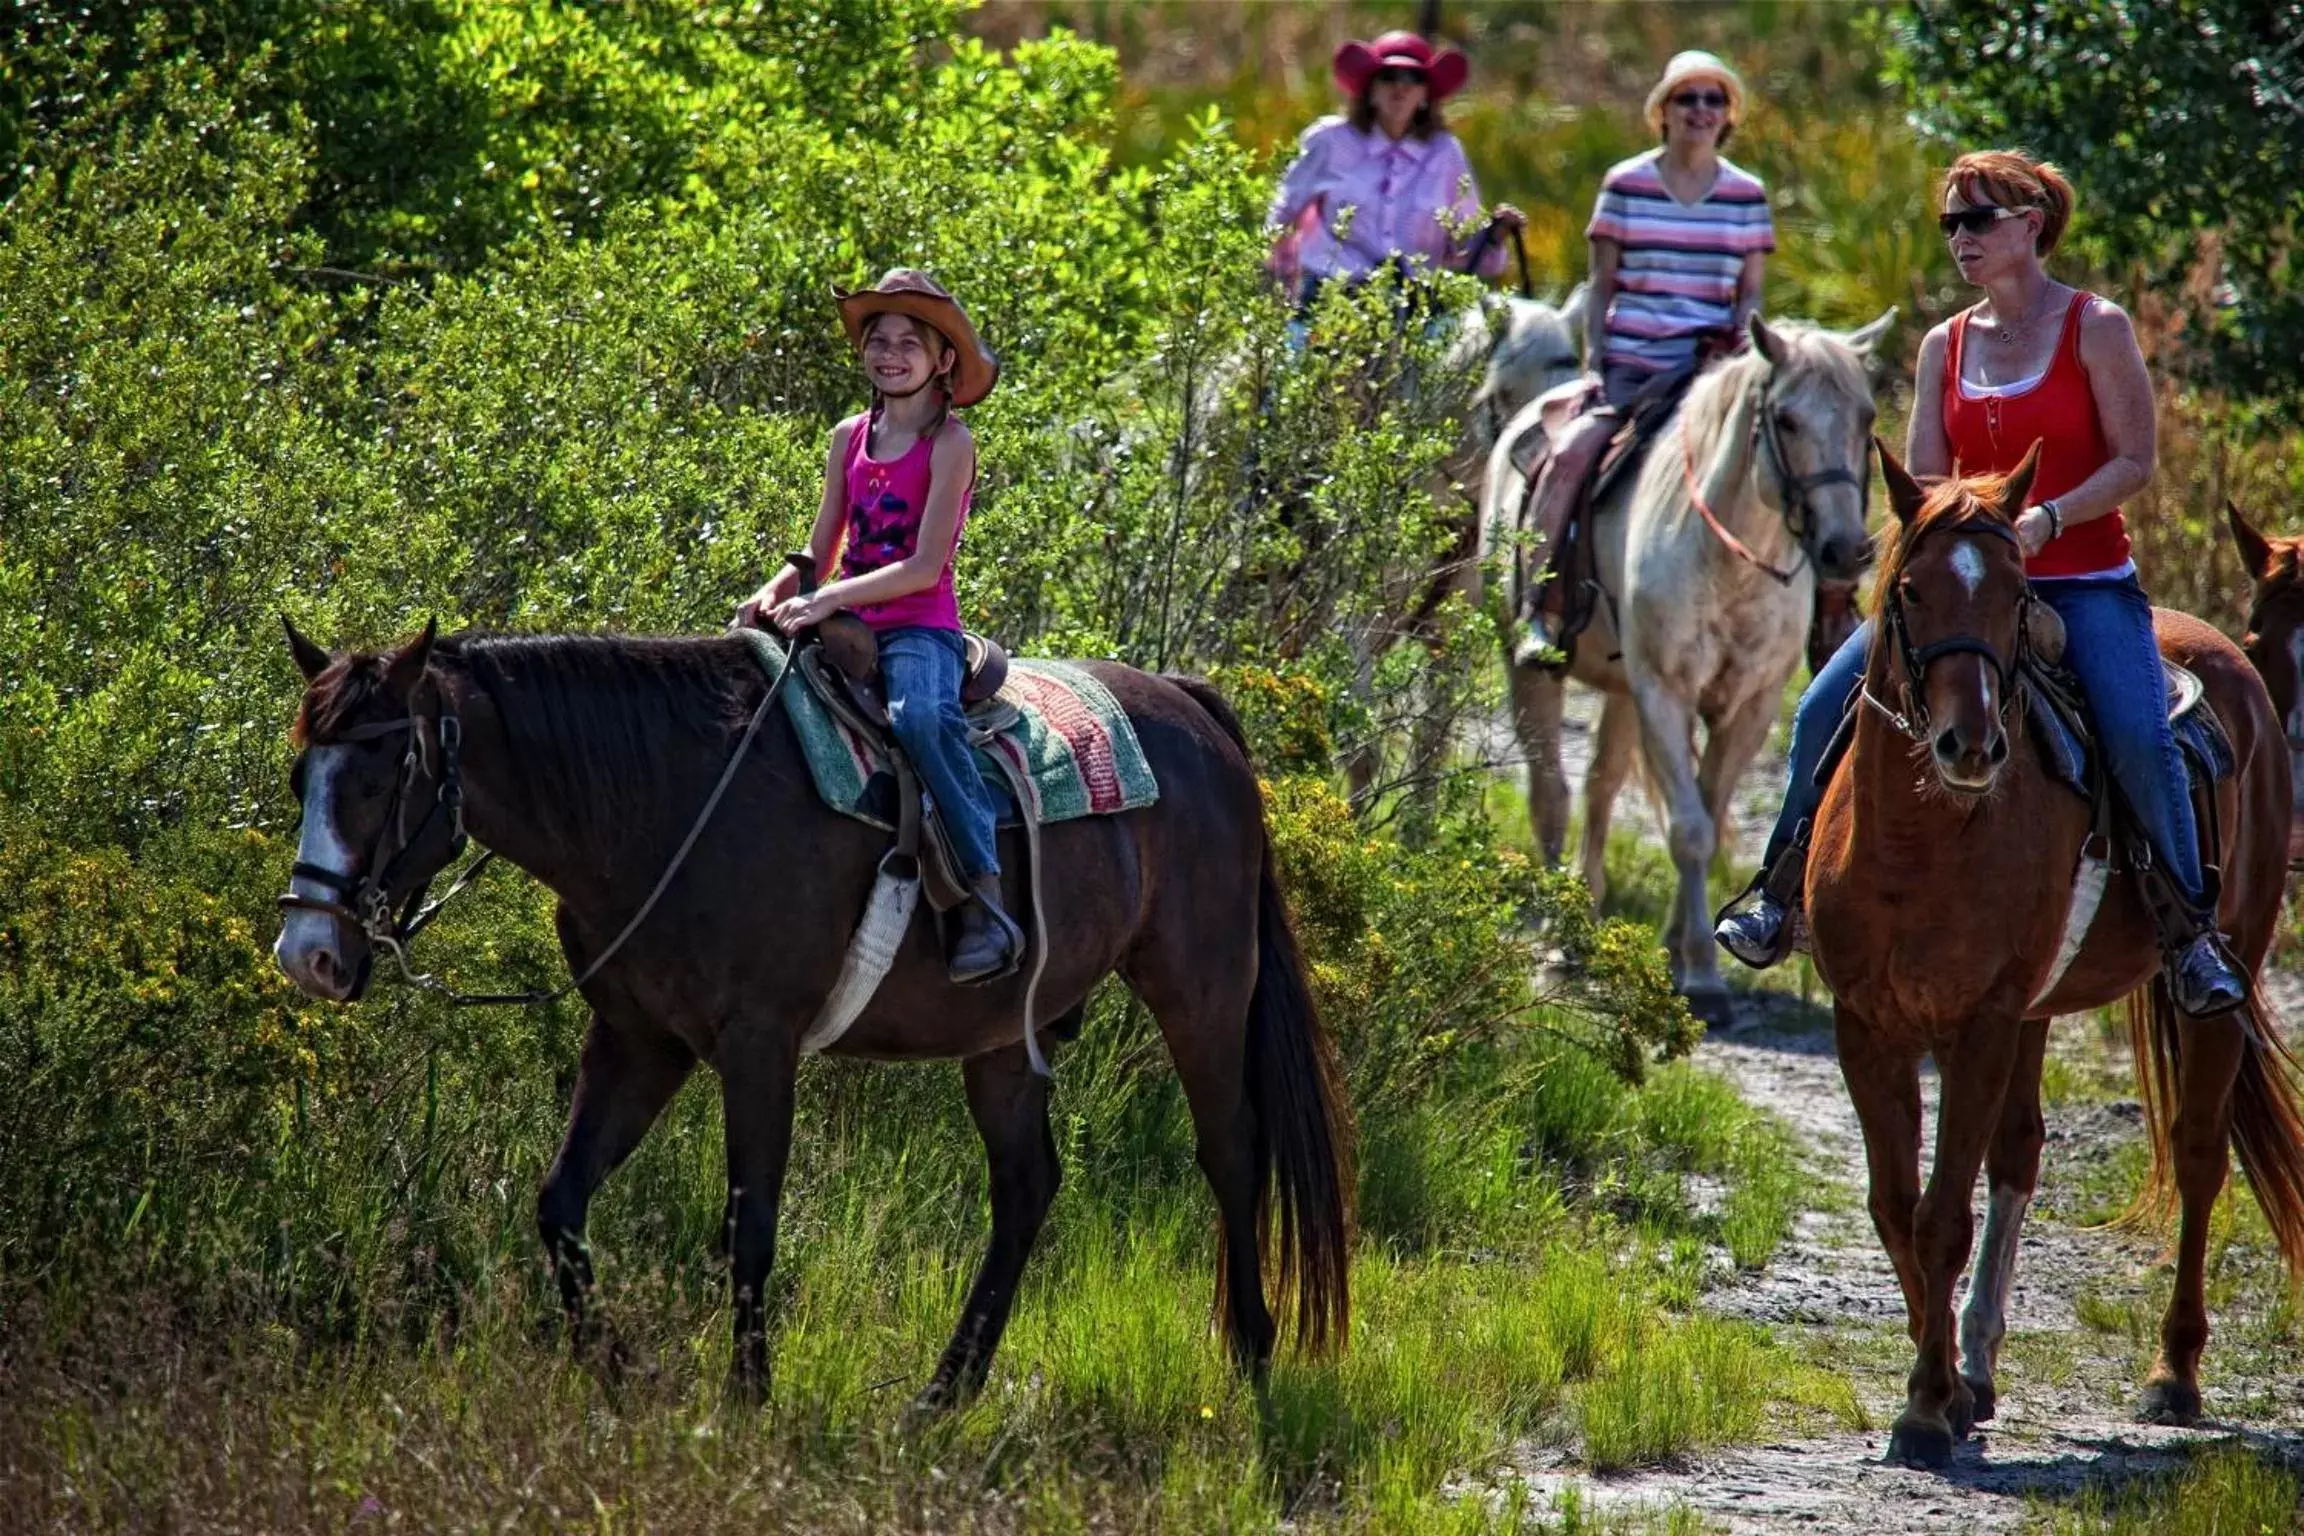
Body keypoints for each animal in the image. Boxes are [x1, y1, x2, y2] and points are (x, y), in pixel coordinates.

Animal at [269, 617, 1345, 1409]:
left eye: (379, 777)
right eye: (300, 778)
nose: (307, 953)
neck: (665, 801)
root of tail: (1193, 709)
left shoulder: (759, 1045)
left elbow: (749, 1228)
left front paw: (746, 1401)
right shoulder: (639, 1042)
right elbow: (561, 1205)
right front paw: (620, 1373)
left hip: (1202, 990)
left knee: (1232, 1155)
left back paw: (1252, 1355)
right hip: (1003, 1040)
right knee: (1027, 1189)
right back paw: (942, 1396)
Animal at [1492, 310, 1889, 1022]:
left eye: (1866, 417)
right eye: (1786, 419)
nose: (1846, 550)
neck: (1730, 561)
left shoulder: (1749, 708)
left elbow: (1704, 807)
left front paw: (1684, 949)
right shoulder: (1666, 694)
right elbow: (1691, 830)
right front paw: (1701, 975)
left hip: (1622, 691)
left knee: (1599, 786)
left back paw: (1583, 909)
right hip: (1534, 671)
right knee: (1551, 796)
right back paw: (1556, 940)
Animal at [1806, 444, 2304, 1464]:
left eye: (2013, 594)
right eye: (1910, 590)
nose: (1969, 744)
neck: (1918, 841)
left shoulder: (1982, 1023)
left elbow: (1941, 1216)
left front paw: (1926, 1408)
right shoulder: (1866, 1024)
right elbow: (1895, 1207)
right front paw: (1952, 1389)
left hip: (2222, 972)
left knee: (2199, 1156)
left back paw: (2173, 1373)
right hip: (2033, 1014)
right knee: (2021, 1153)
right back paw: (1983, 1361)